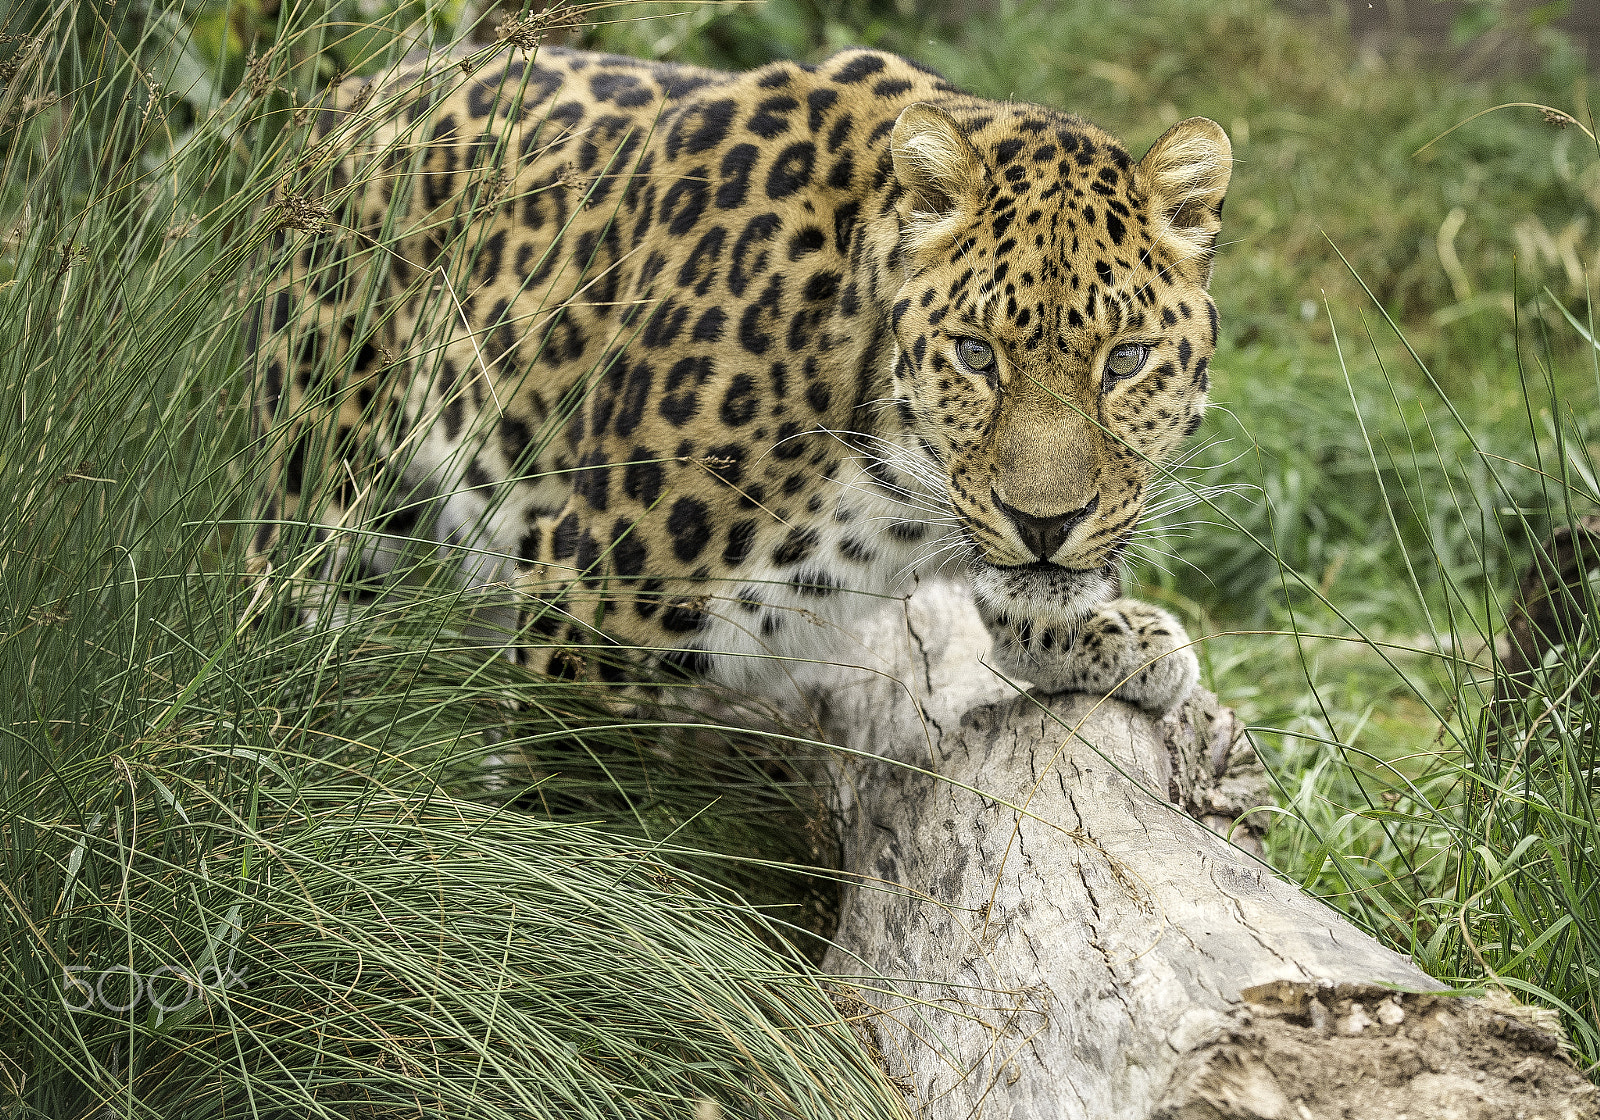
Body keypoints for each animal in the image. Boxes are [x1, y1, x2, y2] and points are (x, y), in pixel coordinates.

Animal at [250, 42, 1231, 715]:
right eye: (976, 354)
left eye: (1125, 359)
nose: (1045, 524)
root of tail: (358, 89)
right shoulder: (585, 595)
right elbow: (560, 799)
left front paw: (1118, 636)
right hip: (323, 470)